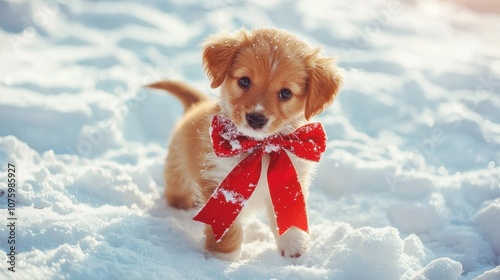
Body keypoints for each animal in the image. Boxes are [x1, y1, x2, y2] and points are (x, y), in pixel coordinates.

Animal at [148, 27, 342, 260]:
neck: (260, 148)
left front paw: (294, 247)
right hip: (178, 173)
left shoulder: (292, 180)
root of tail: (197, 105)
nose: (256, 119)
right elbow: (228, 230)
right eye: (244, 81)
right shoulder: (221, 186)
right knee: (176, 191)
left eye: (286, 93)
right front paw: (222, 259)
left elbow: (289, 218)